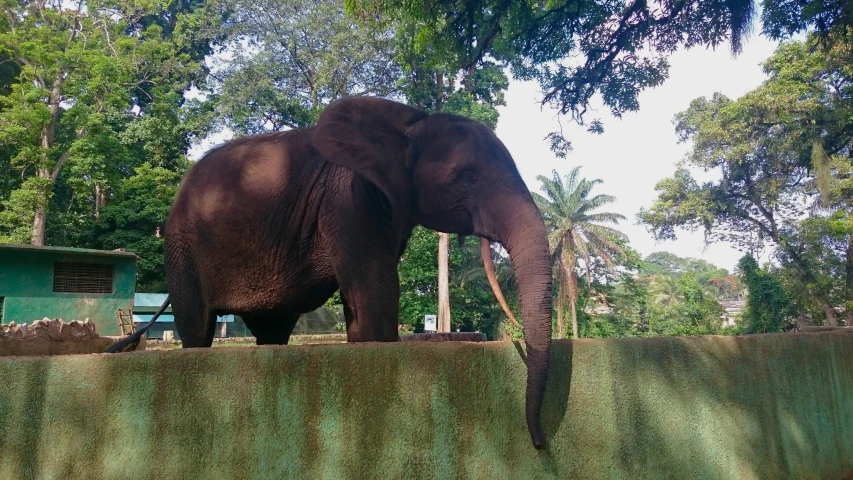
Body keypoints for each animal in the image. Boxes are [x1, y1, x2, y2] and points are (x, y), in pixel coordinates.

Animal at [105, 95, 552, 448]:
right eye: (467, 177)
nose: (539, 442)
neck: (408, 121)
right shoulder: (350, 201)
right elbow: (375, 295)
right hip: (183, 248)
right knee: (197, 327)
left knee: (272, 331)